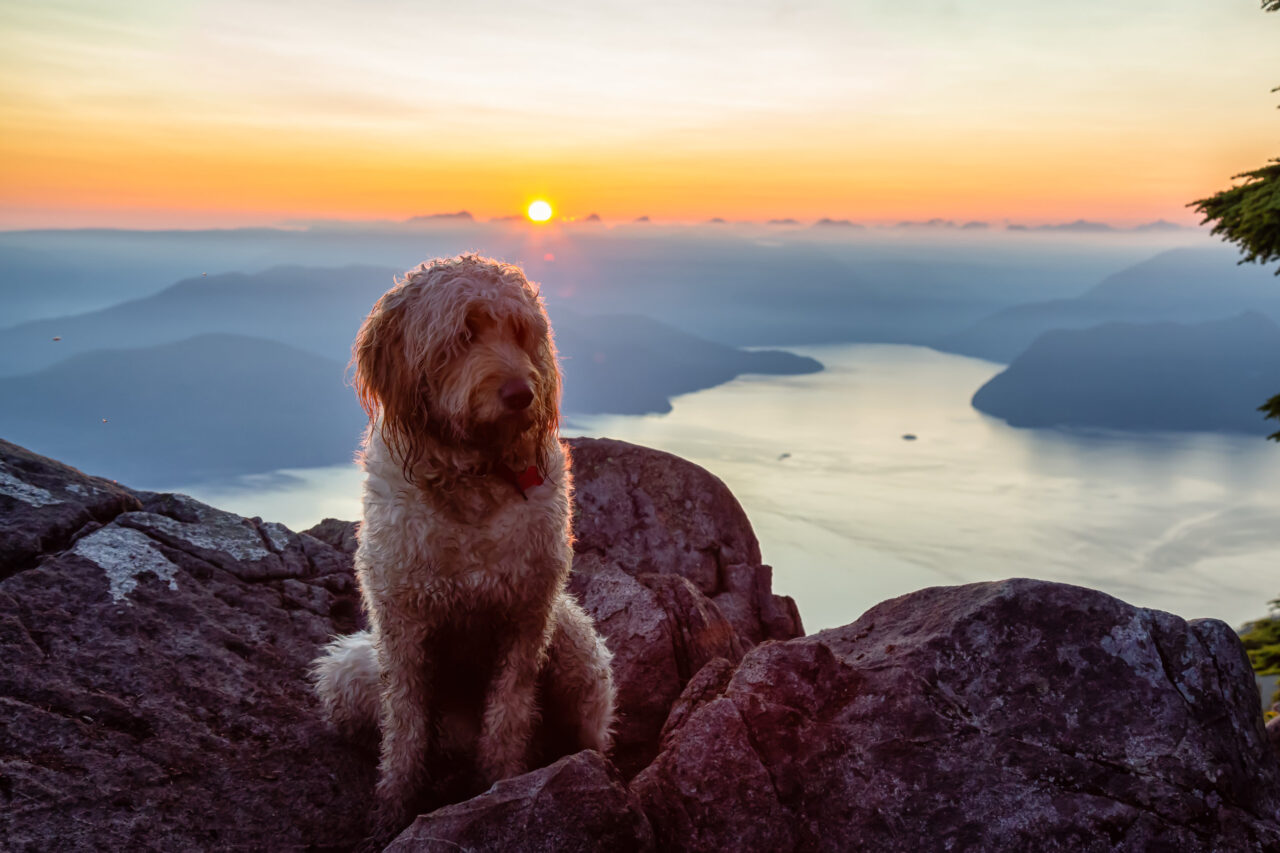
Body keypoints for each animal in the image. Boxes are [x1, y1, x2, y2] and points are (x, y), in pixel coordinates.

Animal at [307, 253, 611, 835]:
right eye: (465, 332)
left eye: (521, 332)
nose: (521, 394)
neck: (472, 477)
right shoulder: (401, 624)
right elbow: (404, 726)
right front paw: (394, 805)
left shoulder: (525, 617)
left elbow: (509, 716)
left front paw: (500, 785)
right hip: (348, 670)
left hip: (577, 654)